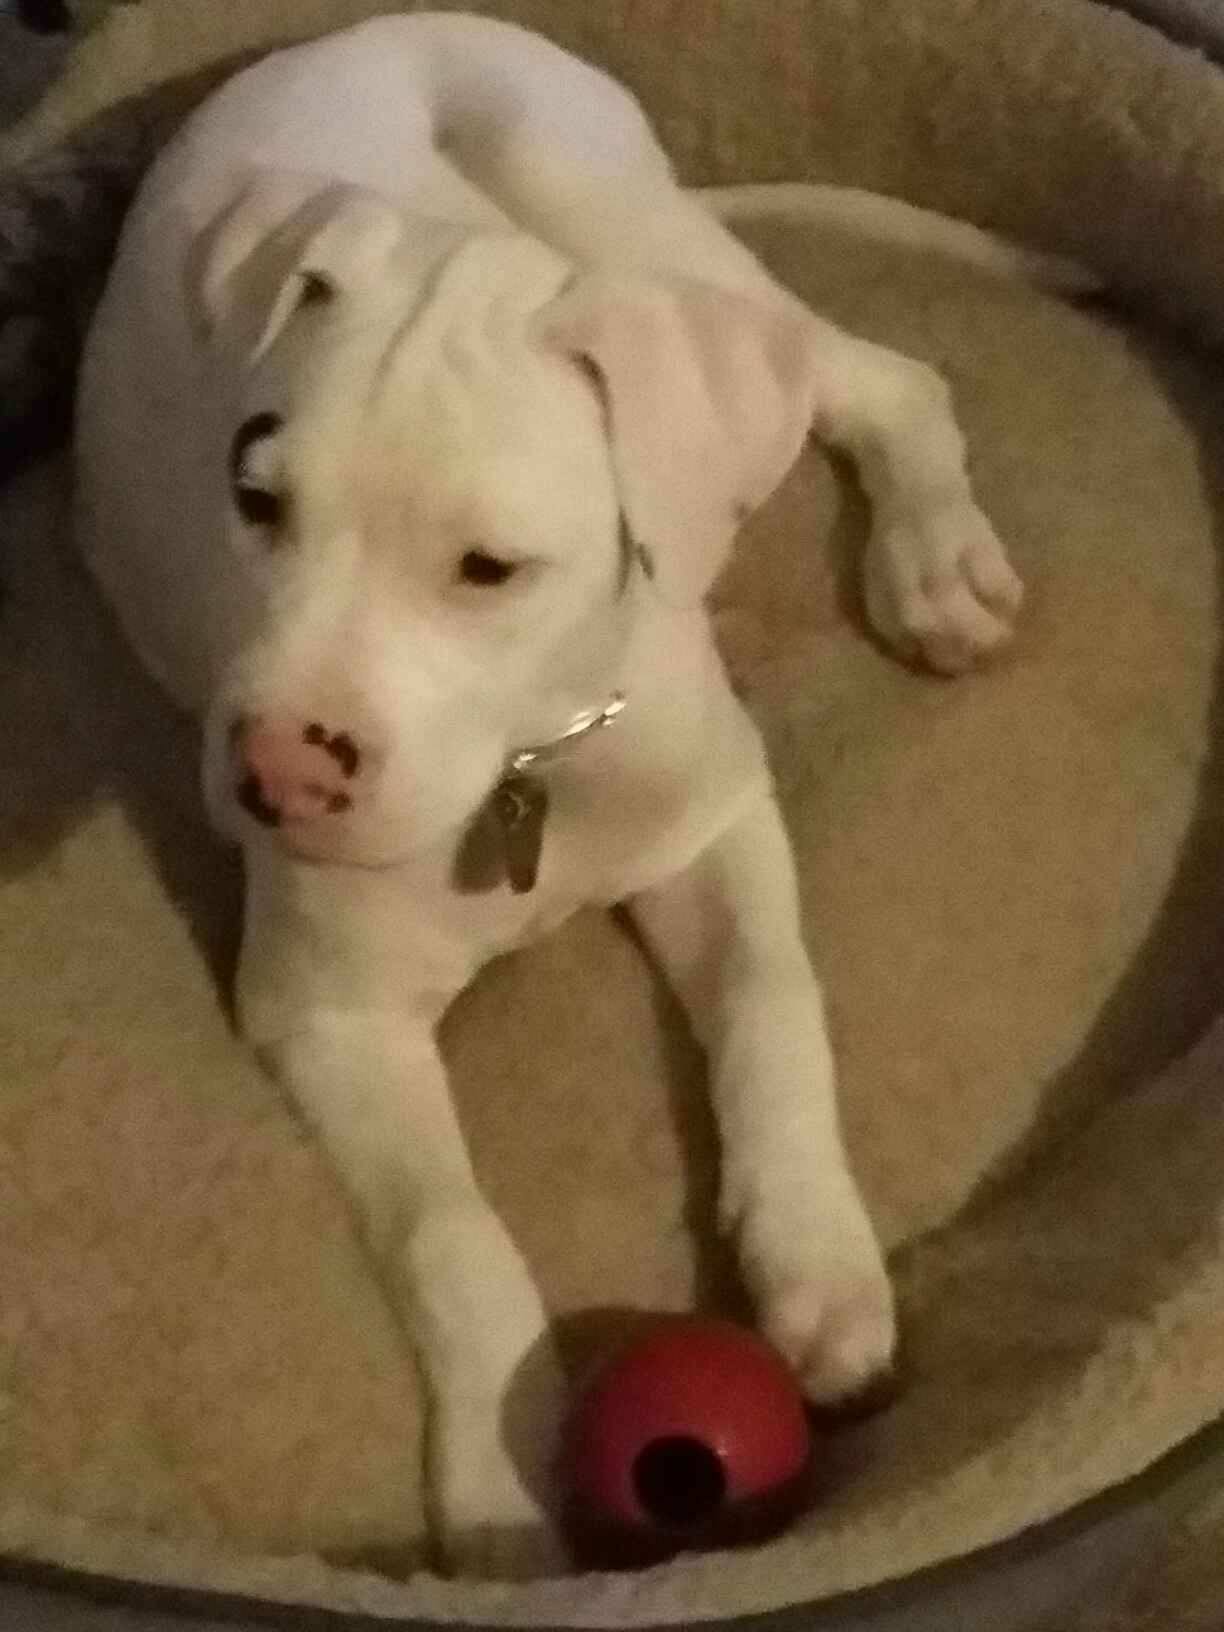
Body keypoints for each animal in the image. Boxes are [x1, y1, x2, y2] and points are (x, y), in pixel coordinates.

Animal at [74, 6, 1057, 1573]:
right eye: (255, 499)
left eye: (490, 570)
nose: (274, 774)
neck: (532, 757)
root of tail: (381, 30)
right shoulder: (329, 1013)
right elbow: (451, 1233)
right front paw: (497, 1477)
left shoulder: (718, 824)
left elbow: (775, 1011)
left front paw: (818, 1263)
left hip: (606, 196)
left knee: (878, 374)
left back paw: (933, 558)